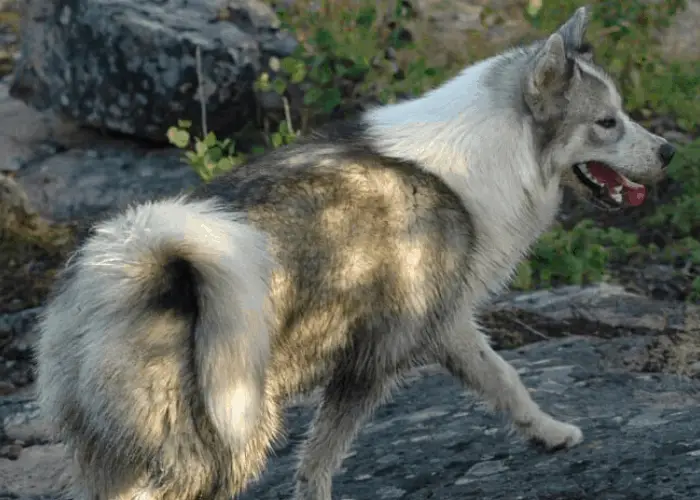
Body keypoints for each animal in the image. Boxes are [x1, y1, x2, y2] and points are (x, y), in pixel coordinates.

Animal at [37, 6, 672, 500]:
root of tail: (135, 266)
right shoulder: (372, 362)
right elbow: (322, 457)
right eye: (606, 123)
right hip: (227, 435)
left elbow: (504, 378)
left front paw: (548, 430)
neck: (494, 150)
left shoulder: (447, 324)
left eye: (622, 115)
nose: (669, 152)